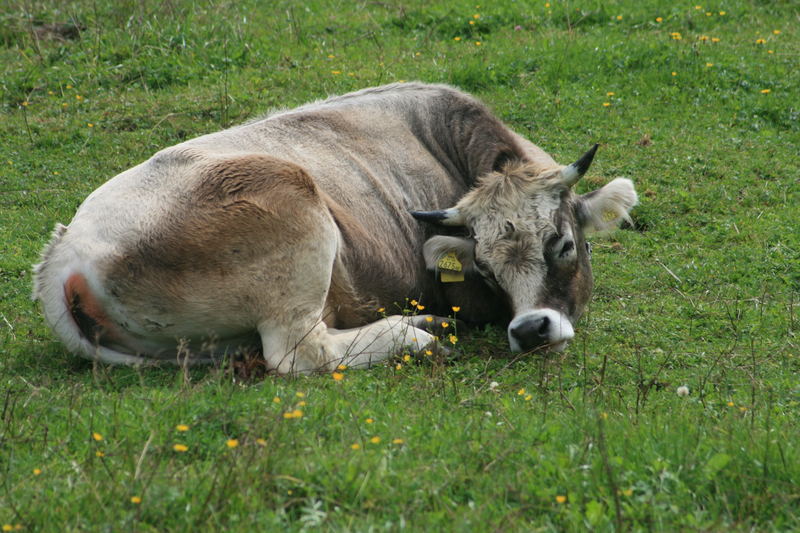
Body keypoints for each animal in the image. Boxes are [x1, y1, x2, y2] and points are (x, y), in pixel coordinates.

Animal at [32, 84, 636, 374]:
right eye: (483, 269)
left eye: (564, 244)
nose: (530, 330)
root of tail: (65, 254)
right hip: (290, 206)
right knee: (300, 352)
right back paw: (418, 335)